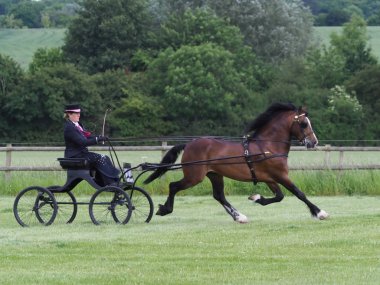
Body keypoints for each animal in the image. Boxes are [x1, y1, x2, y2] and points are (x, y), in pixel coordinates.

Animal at [144, 102, 328, 222]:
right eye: (303, 124)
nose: (314, 142)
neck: (267, 146)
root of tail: (189, 144)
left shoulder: (269, 178)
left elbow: (279, 196)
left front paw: (256, 198)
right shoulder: (280, 176)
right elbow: (299, 193)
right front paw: (320, 213)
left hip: (215, 175)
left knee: (219, 196)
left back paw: (239, 216)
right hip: (194, 177)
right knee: (174, 186)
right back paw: (165, 209)